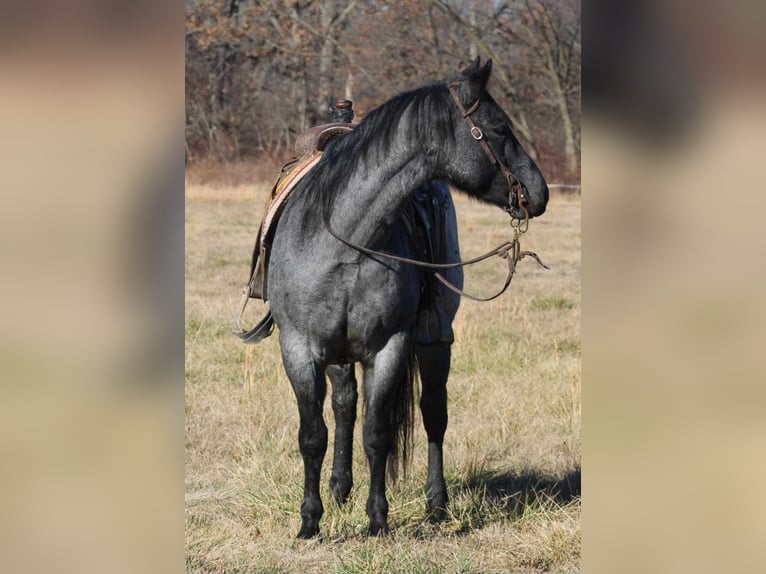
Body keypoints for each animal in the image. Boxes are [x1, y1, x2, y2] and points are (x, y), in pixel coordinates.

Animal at [268, 56, 548, 536]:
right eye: (499, 128)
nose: (539, 191)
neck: (345, 244)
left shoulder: (389, 348)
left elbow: (377, 434)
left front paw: (378, 520)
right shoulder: (300, 350)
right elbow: (313, 436)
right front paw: (310, 522)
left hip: (435, 339)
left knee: (434, 412)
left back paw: (436, 503)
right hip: (339, 356)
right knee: (344, 405)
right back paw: (340, 487)